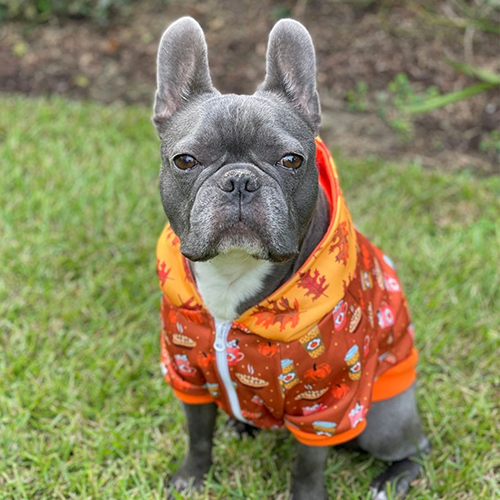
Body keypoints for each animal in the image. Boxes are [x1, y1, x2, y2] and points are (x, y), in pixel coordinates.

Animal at [154, 16, 432, 500]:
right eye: (185, 161)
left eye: (290, 160)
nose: (240, 180)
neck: (234, 272)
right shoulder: (187, 372)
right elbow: (198, 432)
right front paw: (190, 478)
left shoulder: (325, 405)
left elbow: (308, 464)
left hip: (382, 421)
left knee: (413, 449)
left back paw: (392, 480)